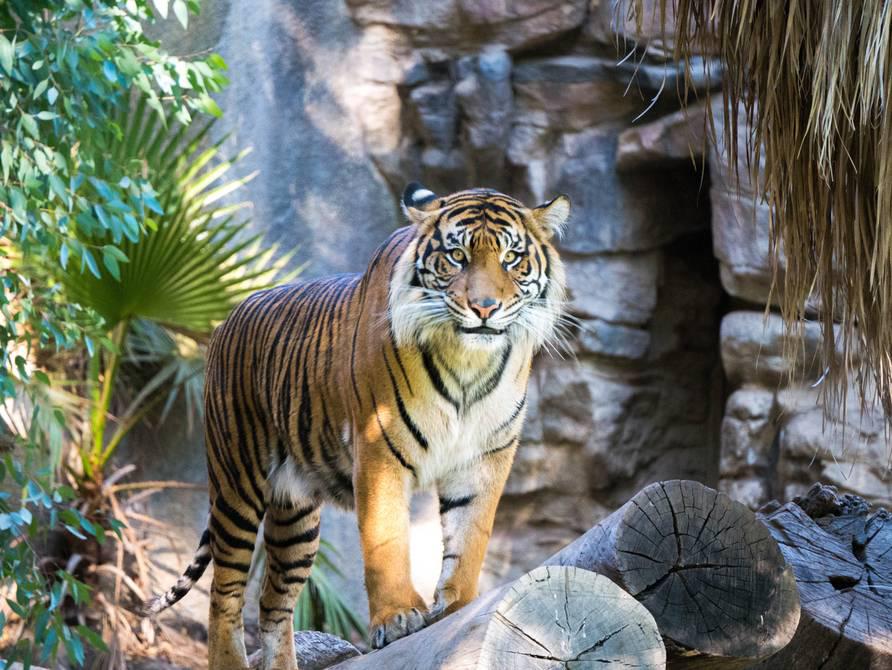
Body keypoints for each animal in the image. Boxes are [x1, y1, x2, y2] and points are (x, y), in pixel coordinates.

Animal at [146, 183, 570, 670]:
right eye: (457, 256)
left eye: (512, 258)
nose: (485, 308)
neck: (469, 361)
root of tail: (225, 321)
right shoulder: (379, 446)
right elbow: (386, 539)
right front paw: (398, 617)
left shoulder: (485, 457)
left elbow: (470, 537)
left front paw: (458, 609)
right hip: (237, 484)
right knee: (225, 592)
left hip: (295, 517)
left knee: (273, 604)